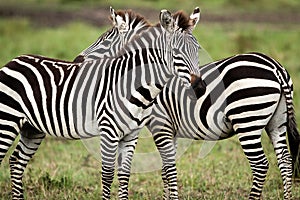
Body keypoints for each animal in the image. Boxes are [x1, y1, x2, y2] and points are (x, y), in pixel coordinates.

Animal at [0, 7, 203, 199]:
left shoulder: (131, 135)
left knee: (16, 161)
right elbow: (107, 175)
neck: (133, 85)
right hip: (7, 120)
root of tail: (13, 61)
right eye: (176, 52)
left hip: (32, 128)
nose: (199, 88)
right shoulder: (109, 132)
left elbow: (125, 174)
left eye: (198, 50)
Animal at [144, 51, 300, 198]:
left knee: (260, 165)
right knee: (285, 160)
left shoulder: (160, 126)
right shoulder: (171, 131)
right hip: (277, 122)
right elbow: (165, 171)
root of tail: (275, 67)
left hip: (247, 120)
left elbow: (168, 170)